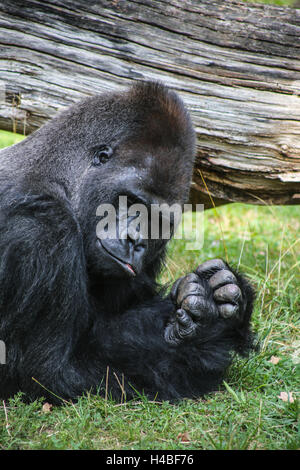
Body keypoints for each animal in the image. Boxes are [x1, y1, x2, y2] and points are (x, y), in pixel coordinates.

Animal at [0, 81, 254, 404]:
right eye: (131, 201)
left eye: (157, 220)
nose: (135, 241)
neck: (61, 176)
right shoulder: (39, 232)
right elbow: (50, 373)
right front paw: (209, 334)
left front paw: (226, 300)